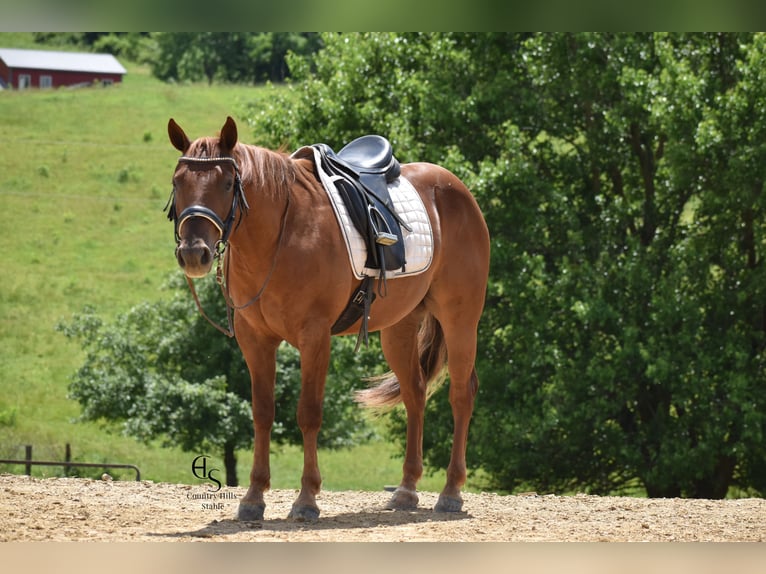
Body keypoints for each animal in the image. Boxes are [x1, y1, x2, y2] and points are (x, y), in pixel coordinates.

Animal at [166, 116, 490, 521]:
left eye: (227, 183)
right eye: (178, 182)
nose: (194, 253)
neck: (280, 234)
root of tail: (457, 189)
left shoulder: (314, 337)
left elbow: (309, 413)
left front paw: (307, 498)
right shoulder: (255, 340)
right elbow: (262, 413)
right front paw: (254, 497)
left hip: (460, 318)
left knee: (461, 394)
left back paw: (451, 492)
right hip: (399, 328)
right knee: (415, 393)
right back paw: (406, 490)